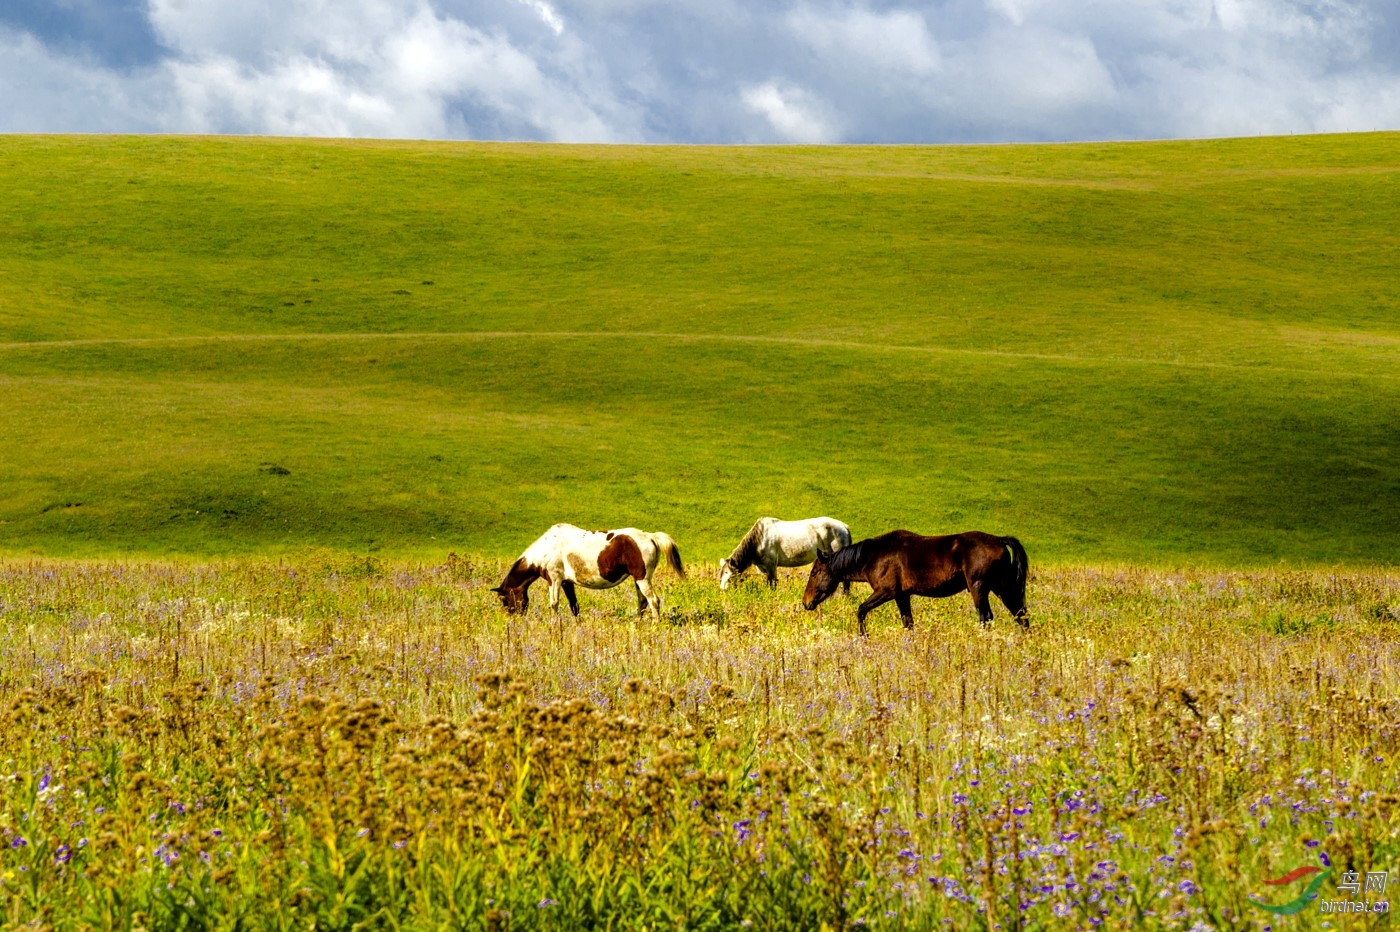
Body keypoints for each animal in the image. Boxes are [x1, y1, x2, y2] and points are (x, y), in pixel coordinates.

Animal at [495, 517, 686, 621]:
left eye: (505, 599)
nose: (514, 620)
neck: (547, 547)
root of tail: (650, 536)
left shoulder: (554, 579)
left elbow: (554, 603)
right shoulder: (566, 582)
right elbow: (574, 605)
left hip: (642, 578)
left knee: (653, 601)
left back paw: (655, 625)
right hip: (639, 580)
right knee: (643, 602)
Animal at [722, 514, 851, 587]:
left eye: (729, 579)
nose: (724, 594)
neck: (759, 539)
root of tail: (844, 527)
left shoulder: (771, 566)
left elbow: (772, 584)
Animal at [800, 528, 1030, 632]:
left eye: (814, 572)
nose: (806, 602)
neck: (873, 555)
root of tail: (999, 540)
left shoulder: (886, 592)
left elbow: (861, 610)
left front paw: (863, 636)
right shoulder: (902, 596)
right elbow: (908, 623)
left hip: (979, 588)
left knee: (986, 617)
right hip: (1002, 587)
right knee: (1020, 614)